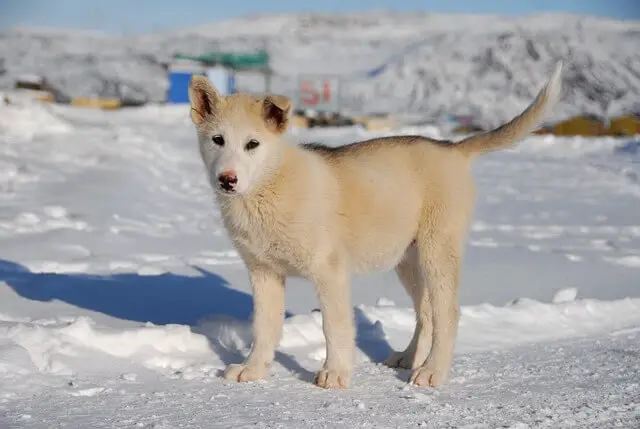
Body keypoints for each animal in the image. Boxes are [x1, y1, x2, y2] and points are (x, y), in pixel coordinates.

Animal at [188, 61, 564, 388]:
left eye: (252, 144)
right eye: (217, 140)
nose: (227, 180)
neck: (270, 186)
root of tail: (453, 148)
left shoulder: (330, 271)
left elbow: (335, 326)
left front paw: (335, 374)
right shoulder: (264, 272)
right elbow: (264, 327)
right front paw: (253, 370)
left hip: (437, 251)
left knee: (447, 313)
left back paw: (432, 371)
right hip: (408, 260)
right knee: (426, 312)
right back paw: (410, 357)